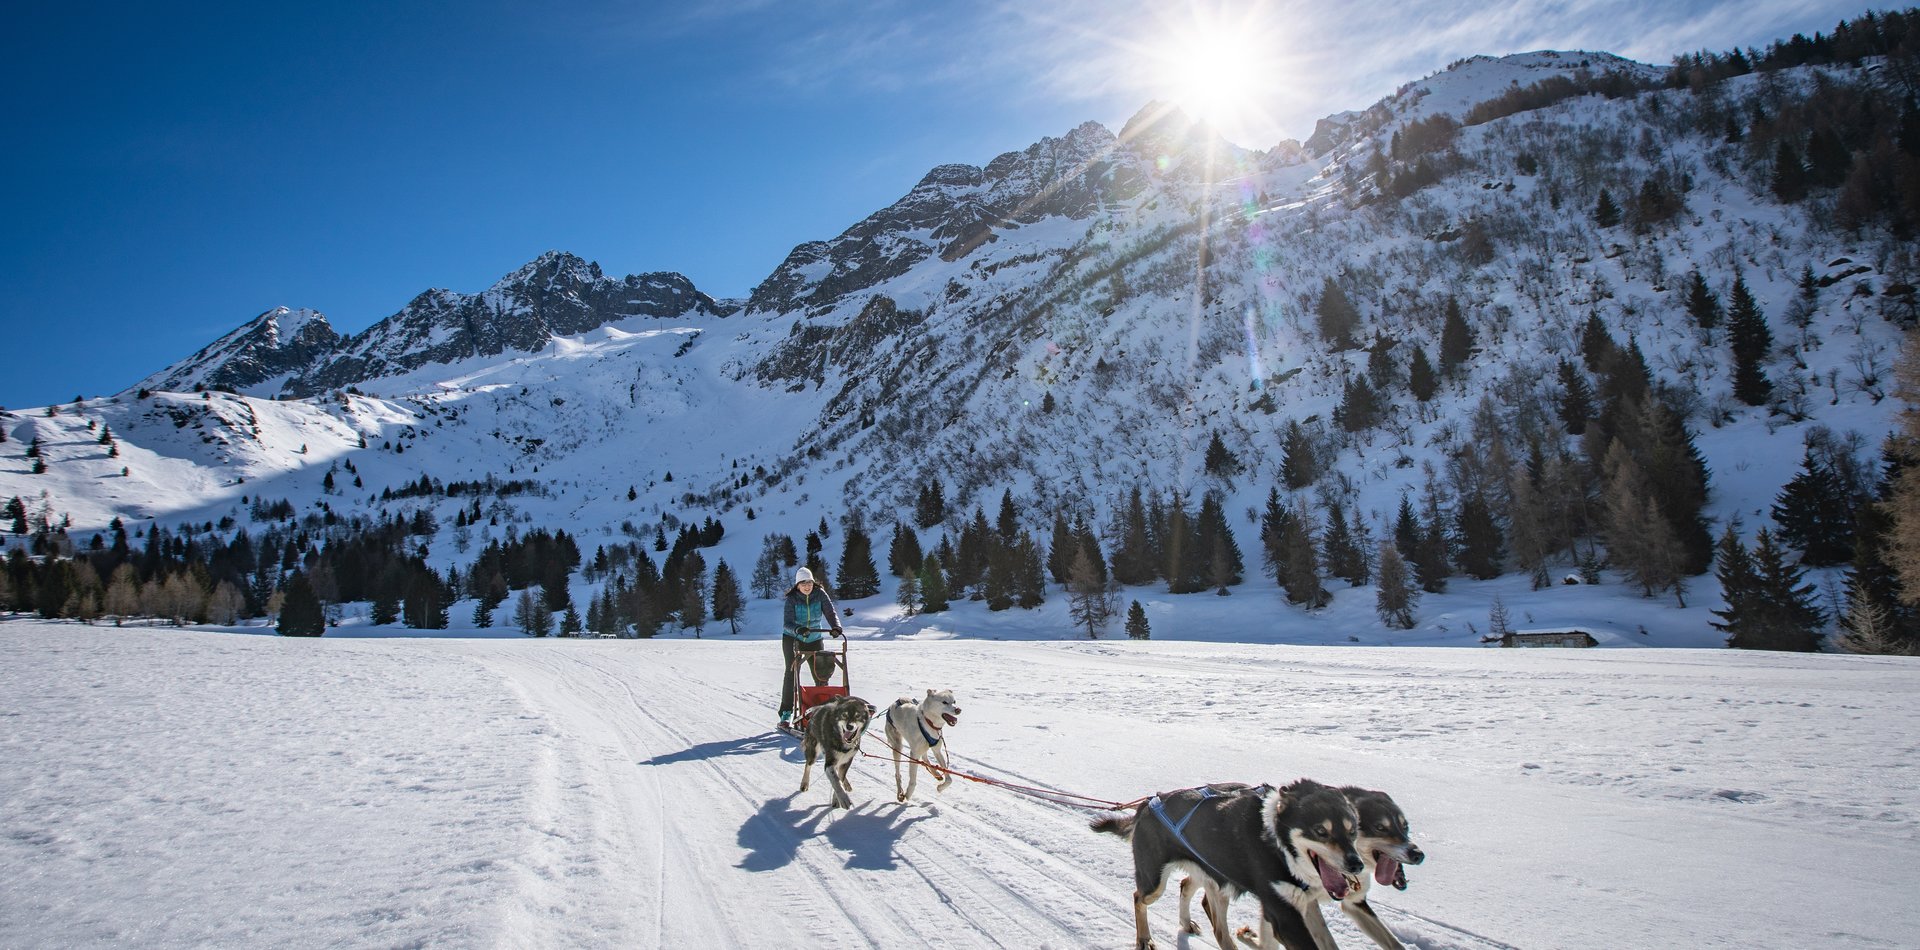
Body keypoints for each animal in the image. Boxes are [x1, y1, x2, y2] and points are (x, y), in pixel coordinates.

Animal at [1098, 779, 1382, 950]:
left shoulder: (1302, 903)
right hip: (1155, 882)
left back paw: (1186, 922)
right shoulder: (1284, 914)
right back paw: (1144, 938)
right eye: (1321, 831)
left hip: (1210, 874)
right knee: (1139, 897)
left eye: (1353, 831)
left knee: (1187, 886)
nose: (1356, 865)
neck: (1276, 841)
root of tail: (1148, 804)